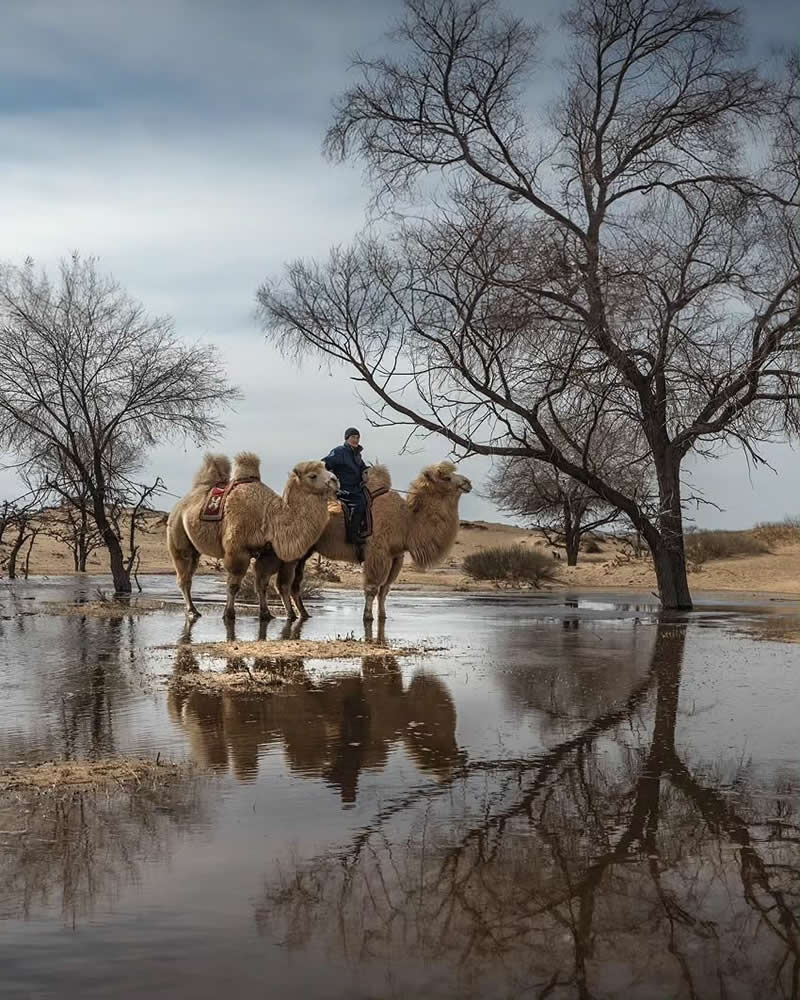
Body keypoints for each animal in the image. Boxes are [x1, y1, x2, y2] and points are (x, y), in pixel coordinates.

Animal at [166, 452, 338, 620]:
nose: (335, 480)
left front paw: (266, 613)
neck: (271, 518)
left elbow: (262, 584)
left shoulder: (268, 554)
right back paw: (192, 610)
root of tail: (182, 503)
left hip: (193, 546)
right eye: (313, 475)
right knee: (184, 576)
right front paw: (229, 614)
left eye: (326, 468)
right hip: (177, 533)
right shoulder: (237, 551)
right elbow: (234, 585)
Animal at [266, 464, 472, 620]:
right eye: (446, 477)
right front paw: (368, 617)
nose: (467, 483)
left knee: (295, 584)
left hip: (306, 551)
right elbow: (373, 588)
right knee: (284, 584)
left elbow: (385, 589)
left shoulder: (396, 556)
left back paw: (304, 614)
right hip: (294, 550)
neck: (406, 522)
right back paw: (291, 615)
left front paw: (383, 615)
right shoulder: (378, 552)